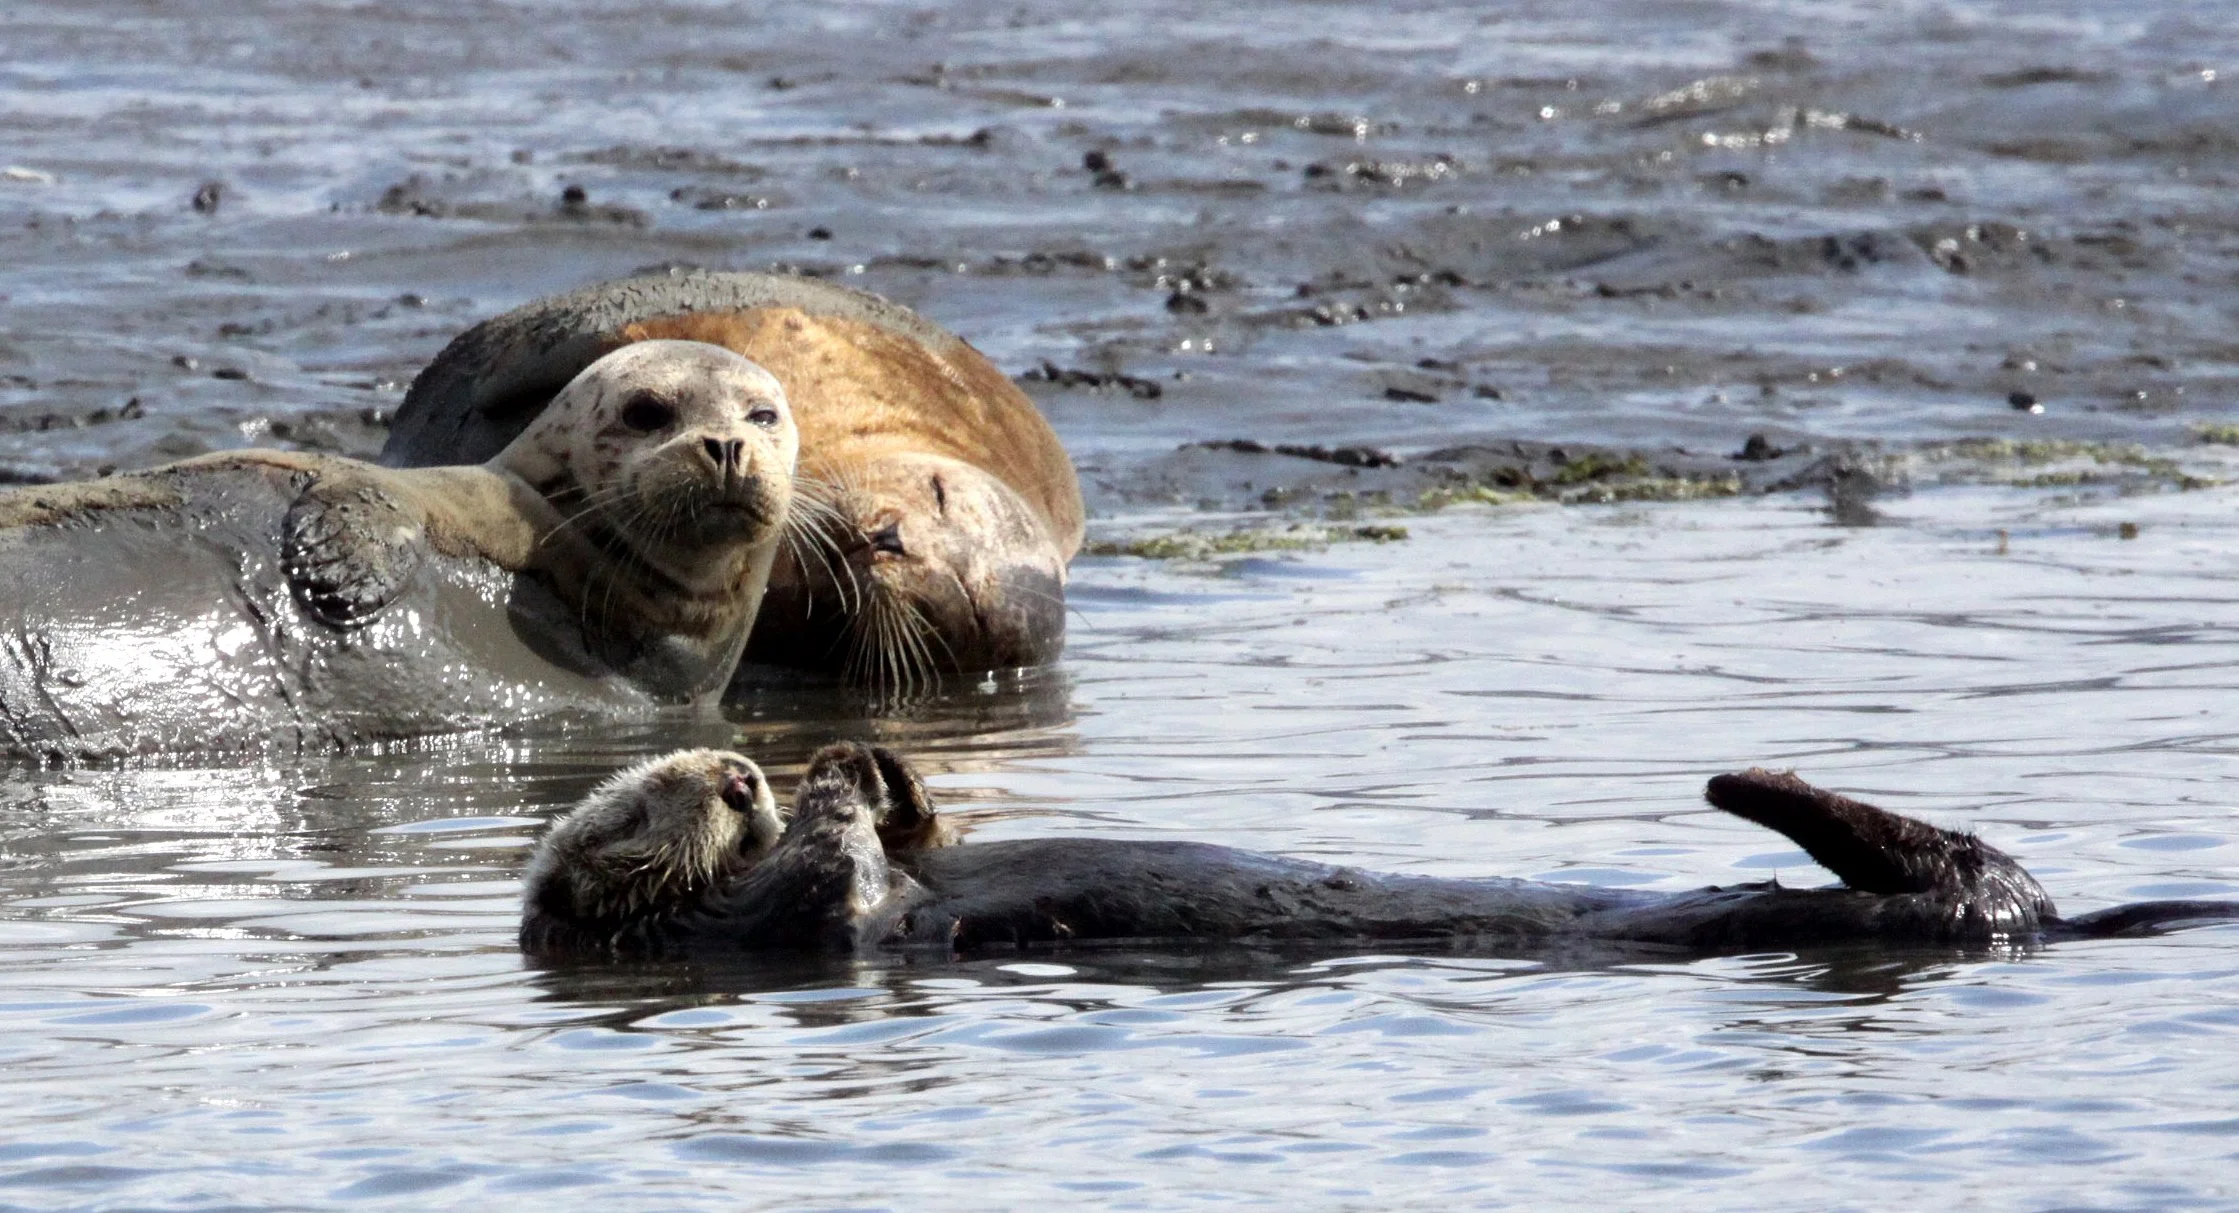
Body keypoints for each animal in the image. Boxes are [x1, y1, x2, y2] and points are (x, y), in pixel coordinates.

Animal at [0, 341, 798, 760]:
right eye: (646, 412)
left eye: (762, 415)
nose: (726, 444)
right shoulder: (447, 494)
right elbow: (363, 487)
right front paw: (339, 568)